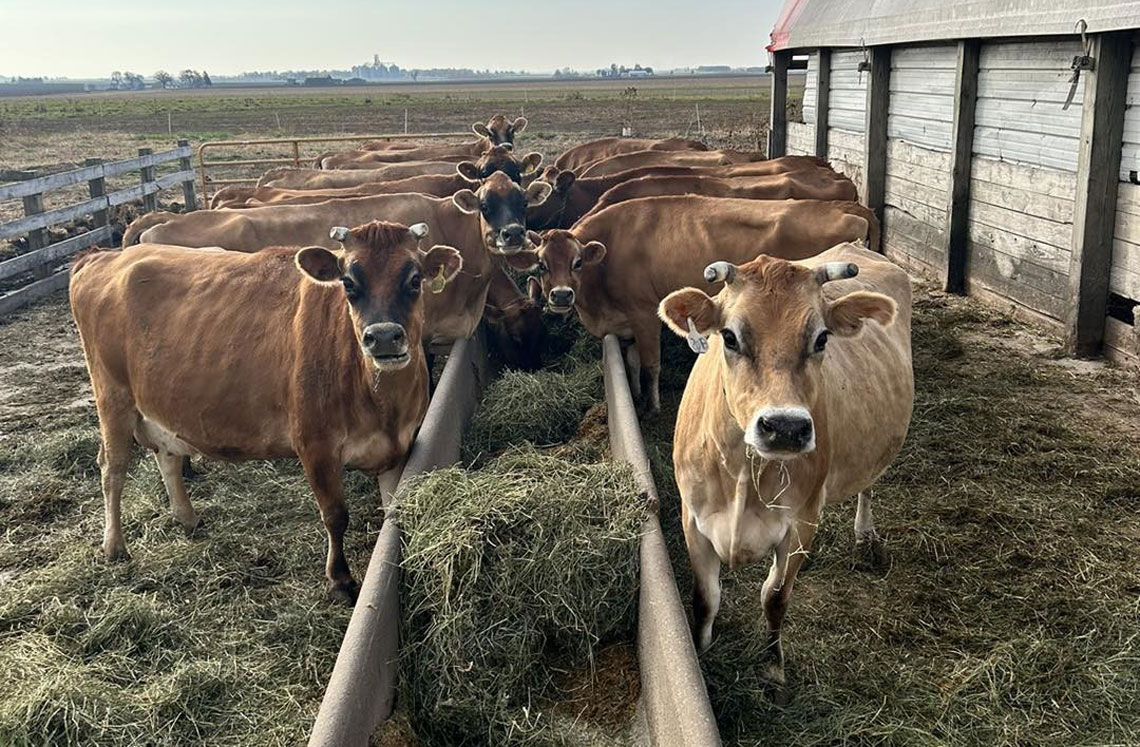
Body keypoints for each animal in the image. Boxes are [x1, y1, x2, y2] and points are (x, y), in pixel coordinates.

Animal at [69, 222, 463, 602]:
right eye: (349, 282)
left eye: (415, 279)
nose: (382, 337)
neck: (380, 402)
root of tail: (102, 257)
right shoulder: (315, 446)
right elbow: (335, 515)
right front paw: (340, 580)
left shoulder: (399, 445)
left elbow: (393, 513)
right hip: (112, 397)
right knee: (112, 468)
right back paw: (114, 545)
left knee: (167, 457)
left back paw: (187, 518)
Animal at [521, 196, 879, 410]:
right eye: (541, 264)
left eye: (578, 262)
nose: (561, 296)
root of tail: (848, 207)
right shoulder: (626, 324)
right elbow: (632, 362)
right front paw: (635, 396)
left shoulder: (644, 315)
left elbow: (651, 365)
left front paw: (653, 407)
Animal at [657, 243, 913, 701]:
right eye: (729, 336)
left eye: (822, 337)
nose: (786, 427)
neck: (744, 472)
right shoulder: (692, 518)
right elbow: (706, 597)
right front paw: (701, 654)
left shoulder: (800, 523)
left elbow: (774, 597)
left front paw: (773, 670)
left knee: (868, 484)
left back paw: (865, 534)